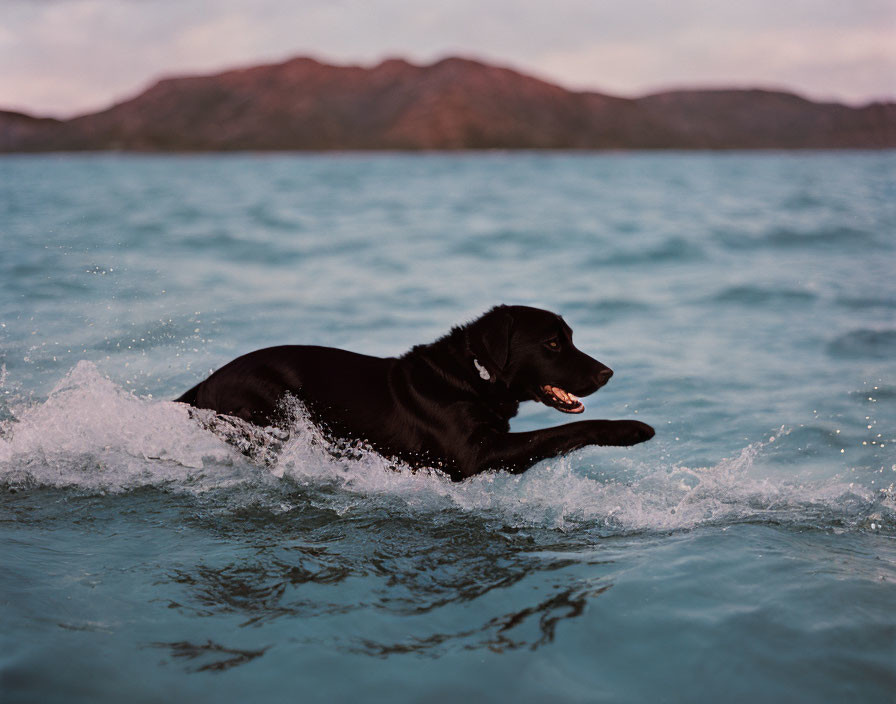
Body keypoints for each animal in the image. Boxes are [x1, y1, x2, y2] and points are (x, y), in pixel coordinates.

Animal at [177, 302, 652, 478]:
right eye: (553, 343)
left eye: (570, 337)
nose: (607, 373)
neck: (472, 375)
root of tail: (203, 386)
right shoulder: (474, 455)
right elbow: (564, 432)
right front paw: (631, 430)